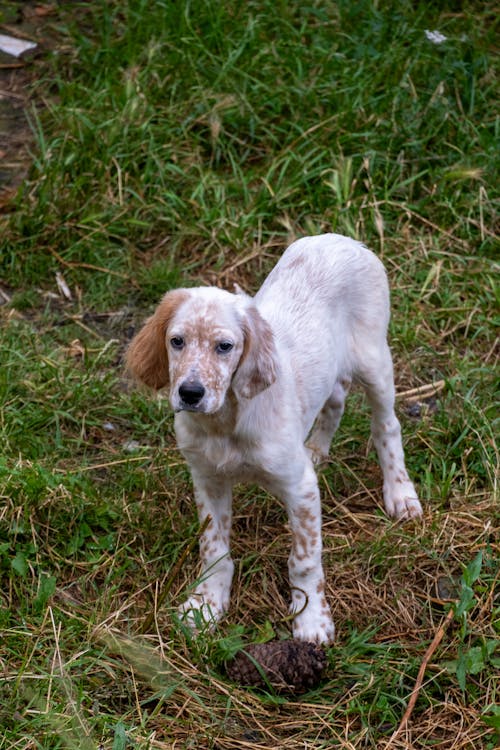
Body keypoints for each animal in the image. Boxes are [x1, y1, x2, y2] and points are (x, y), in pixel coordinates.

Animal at [126, 235, 422, 648]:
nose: (190, 393)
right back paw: (317, 449)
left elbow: (304, 560)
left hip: (375, 361)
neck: (225, 422)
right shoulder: (208, 480)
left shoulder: (300, 488)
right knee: (335, 400)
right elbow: (213, 548)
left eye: (225, 346)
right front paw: (205, 606)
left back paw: (400, 492)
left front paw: (311, 619)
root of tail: (341, 238)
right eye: (177, 341)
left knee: (387, 425)